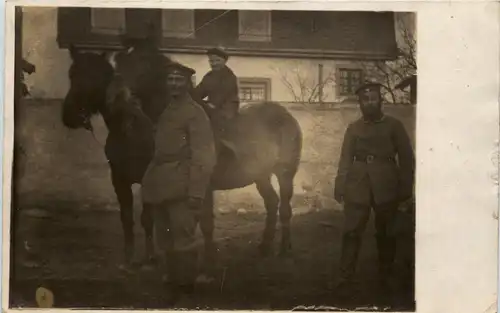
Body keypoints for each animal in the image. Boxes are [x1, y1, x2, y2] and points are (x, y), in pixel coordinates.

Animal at [60, 45, 302, 274]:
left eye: (96, 75)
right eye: (71, 73)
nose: (70, 115)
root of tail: (286, 115)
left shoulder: (197, 186)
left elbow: (202, 223)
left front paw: (207, 265)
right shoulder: (121, 180)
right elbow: (132, 219)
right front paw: (133, 260)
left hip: (285, 174)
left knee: (285, 207)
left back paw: (284, 250)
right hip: (261, 175)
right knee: (271, 203)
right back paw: (264, 247)